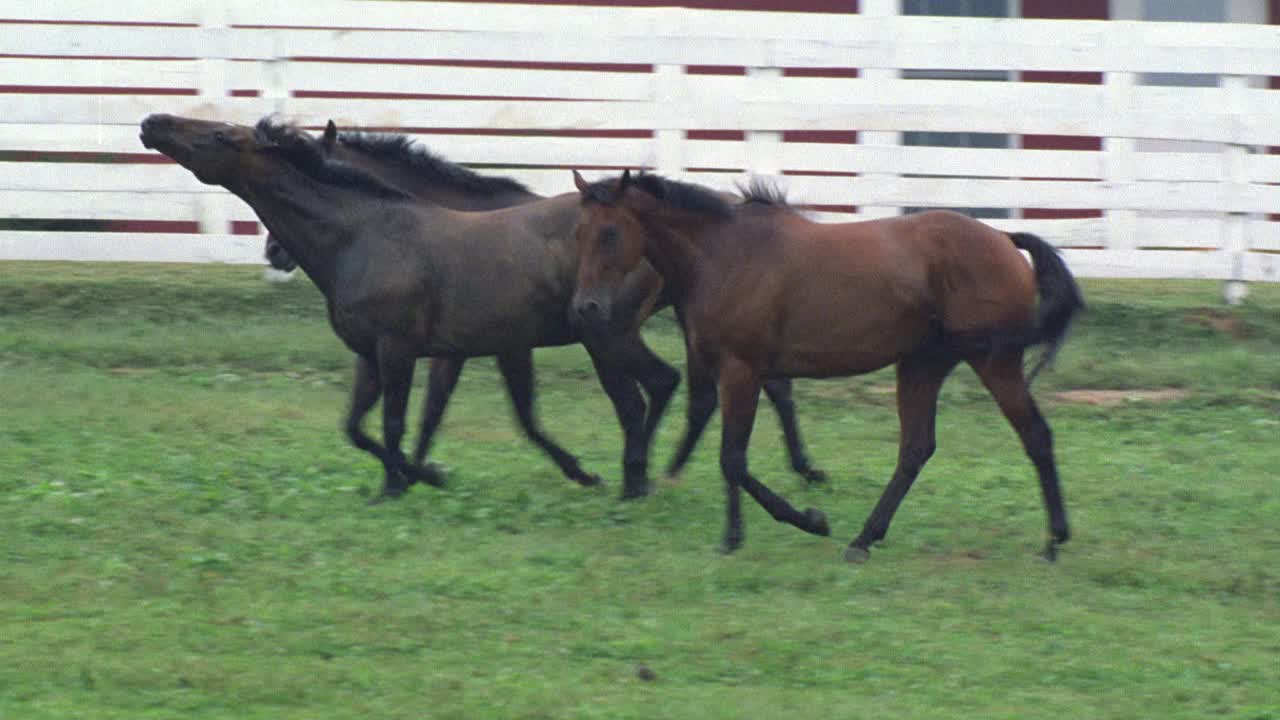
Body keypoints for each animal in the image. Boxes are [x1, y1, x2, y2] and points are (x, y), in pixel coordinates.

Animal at [576, 169, 1085, 561]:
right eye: (580, 233)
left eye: (611, 233)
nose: (587, 308)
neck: (724, 254)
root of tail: (1003, 238)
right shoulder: (740, 370)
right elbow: (734, 452)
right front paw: (748, 532)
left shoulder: (741, 369)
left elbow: (733, 459)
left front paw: (798, 522)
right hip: (922, 364)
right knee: (916, 449)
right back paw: (864, 539)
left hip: (993, 362)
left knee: (1035, 436)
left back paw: (1054, 542)